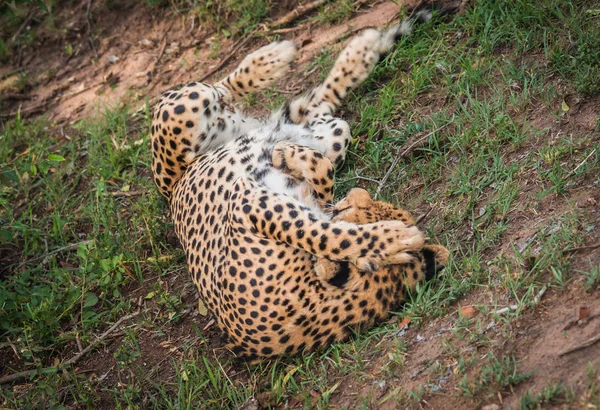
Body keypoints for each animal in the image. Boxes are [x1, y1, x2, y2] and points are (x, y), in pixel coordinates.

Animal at [152, 4, 448, 360]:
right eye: (357, 203)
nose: (355, 193)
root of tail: (172, 187)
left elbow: (321, 192)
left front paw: (288, 158)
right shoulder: (248, 203)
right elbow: (321, 232)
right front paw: (393, 240)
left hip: (323, 132)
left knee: (315, 110)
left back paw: (358, 54)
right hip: (179, 118)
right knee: (216, 88)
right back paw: (275, 57)